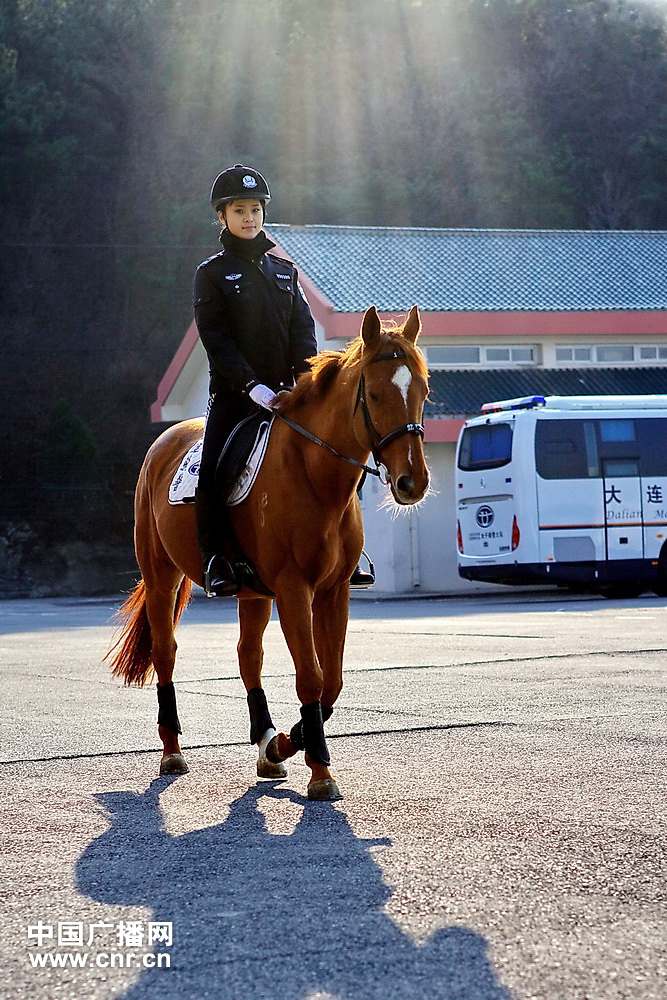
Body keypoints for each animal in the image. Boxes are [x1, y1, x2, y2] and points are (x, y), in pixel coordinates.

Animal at [107, 304, 430, 796]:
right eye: (374, 395)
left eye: (424, 392)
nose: (413, 482)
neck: (313, 474)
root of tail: (164, 440)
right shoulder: (295, 588)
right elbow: (311, 676)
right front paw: (320, 772)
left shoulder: (334, 590)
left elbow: (332, 679)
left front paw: (285, 744)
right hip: (162, 577)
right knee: (166, 653)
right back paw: (172, 752)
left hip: (253, 592)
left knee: (248, 657)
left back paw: (265, 745)